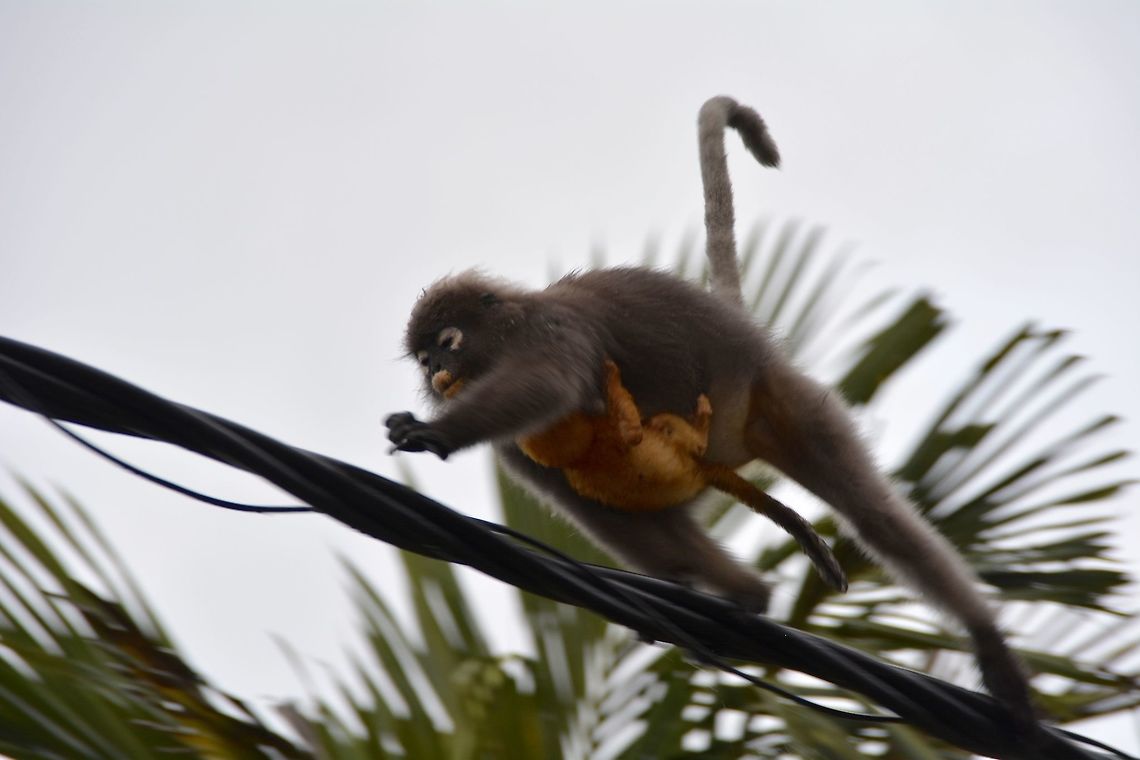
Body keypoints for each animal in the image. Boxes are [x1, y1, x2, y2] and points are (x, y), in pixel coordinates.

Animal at [517, 358, 847, 592]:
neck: (581, 451)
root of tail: (702, 473)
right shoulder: (608, 434)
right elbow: (633, 434)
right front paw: (610, 378)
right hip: (686, 451)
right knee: (675, 432)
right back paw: (701, 424)